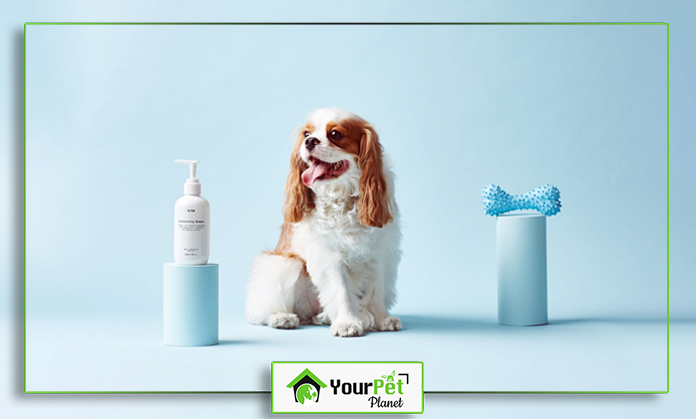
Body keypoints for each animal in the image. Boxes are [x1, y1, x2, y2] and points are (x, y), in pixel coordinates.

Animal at [245, 108, 400, 338]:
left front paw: (381, 319)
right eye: (307, 134)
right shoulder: (329, 256)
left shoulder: (380, 253)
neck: (342, 194)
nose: (309, 141)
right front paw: (347, 322)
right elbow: (341, 289)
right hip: (284, 263)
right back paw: (282, 317)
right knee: (260, 312)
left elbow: (376, 289)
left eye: (335, 134)